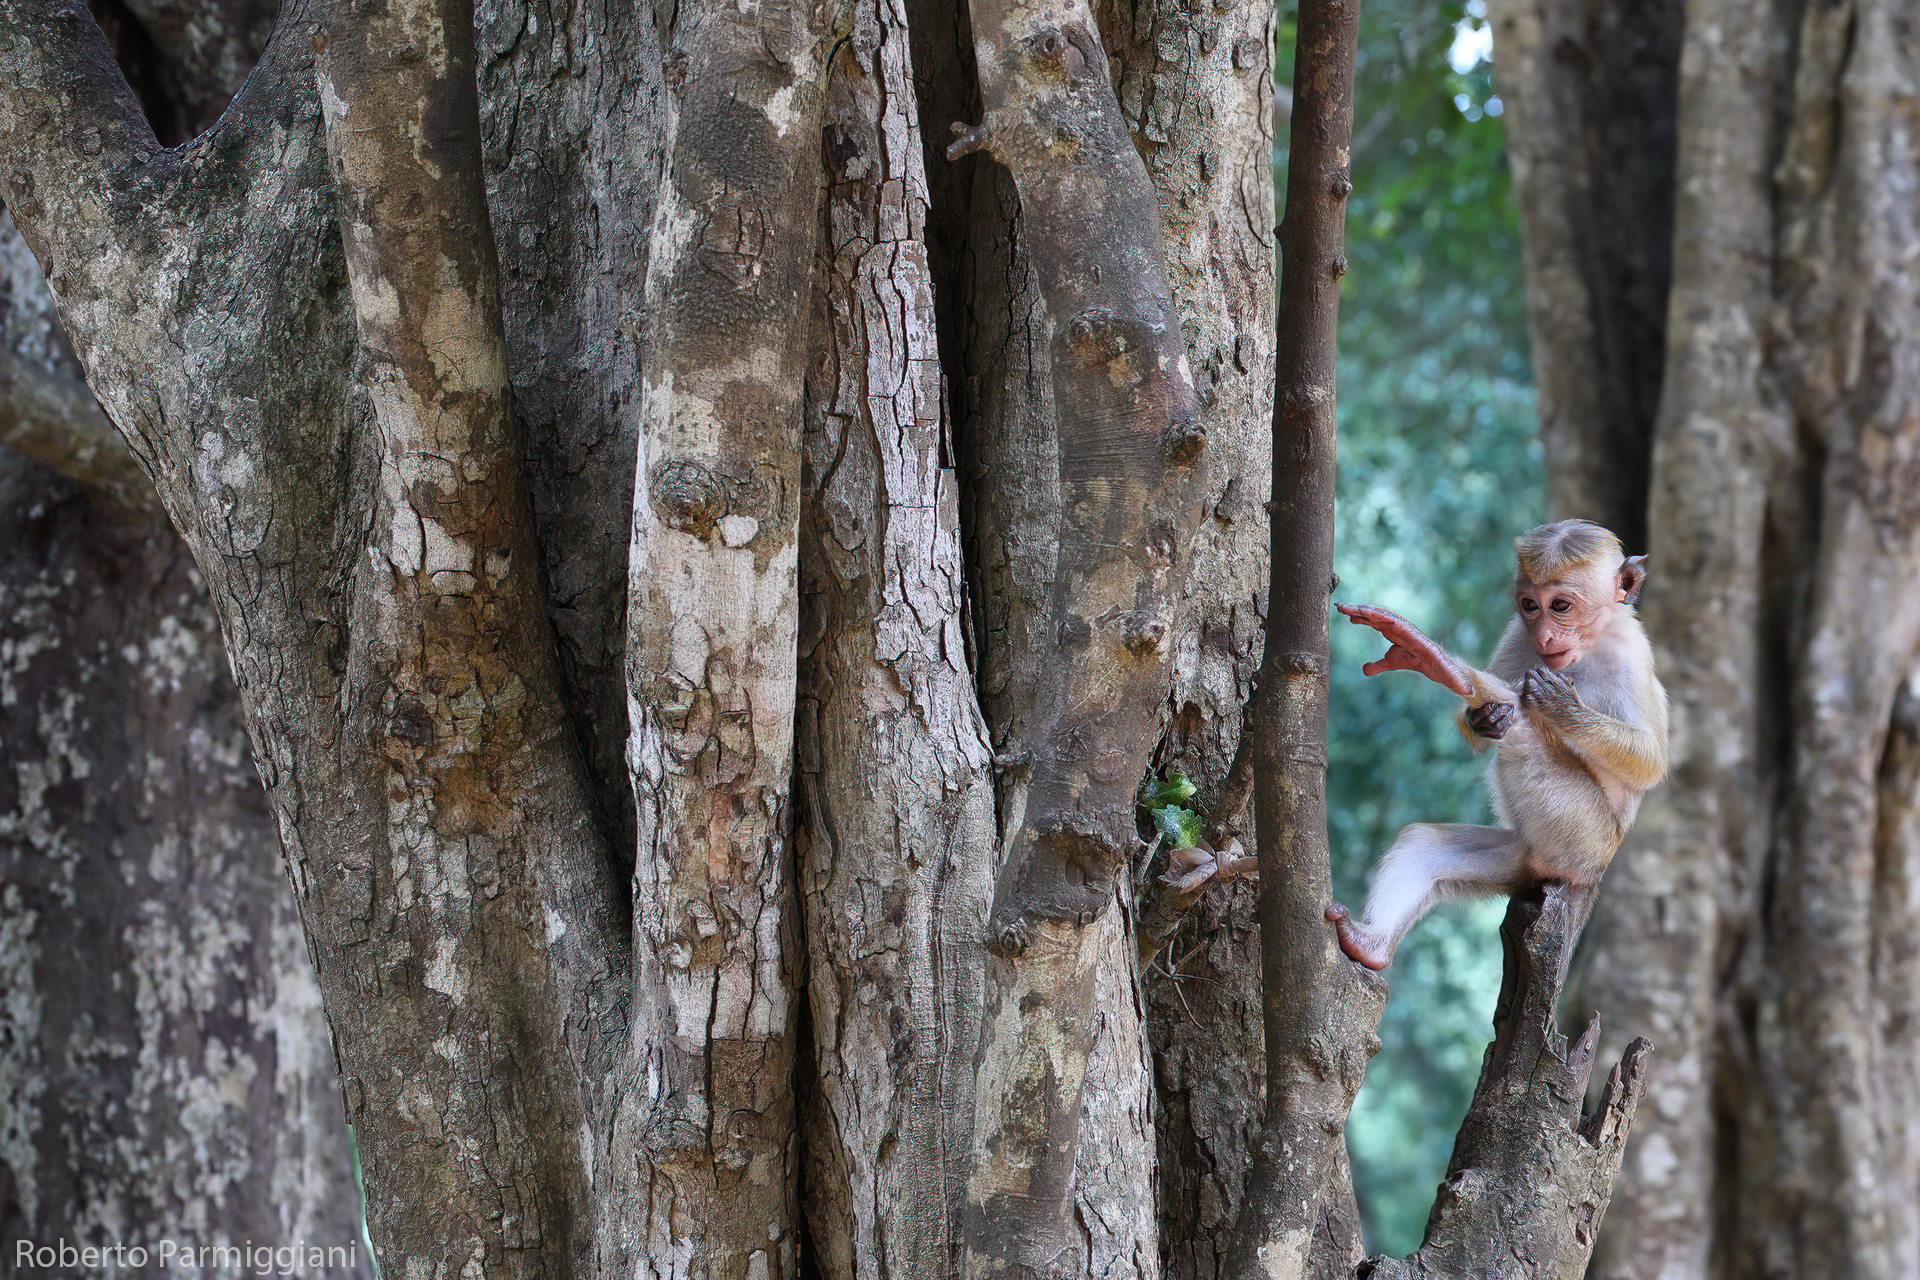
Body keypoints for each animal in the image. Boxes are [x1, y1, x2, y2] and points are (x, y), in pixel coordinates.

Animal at [1323, 519, 1669, 970]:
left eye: (1560, 605)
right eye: (1529, 605)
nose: (1545, 635)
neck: (1588, 647)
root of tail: (1579, 877)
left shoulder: (1632, 651)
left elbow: (1650, 762)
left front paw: (1559, 705)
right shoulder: (1516, 633)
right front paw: (1483, 719)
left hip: (1583, 837)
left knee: (1523, 729)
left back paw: (1446, 667)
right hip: (1521, 857)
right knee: (1425, 845)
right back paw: (1370, 945)